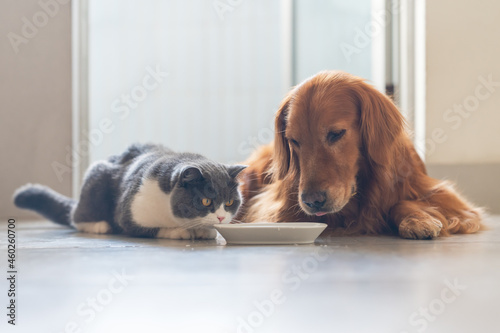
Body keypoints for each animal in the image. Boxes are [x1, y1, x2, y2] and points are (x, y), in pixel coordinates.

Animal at [14, 143, 249, 239]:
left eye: (230, 203)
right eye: (206, 201)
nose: (221, 218)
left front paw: (205, 231)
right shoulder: (130, 211)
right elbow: (148, 228)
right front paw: (177, 231)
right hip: (96, 180)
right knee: (76, 216)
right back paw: (99, 225)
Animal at [236, 70, 482, 237]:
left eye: (336, 134)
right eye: (294, 141)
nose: (312, 201)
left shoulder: (446, 198)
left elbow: (401, 202)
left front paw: (418, 220)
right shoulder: (275, 206)